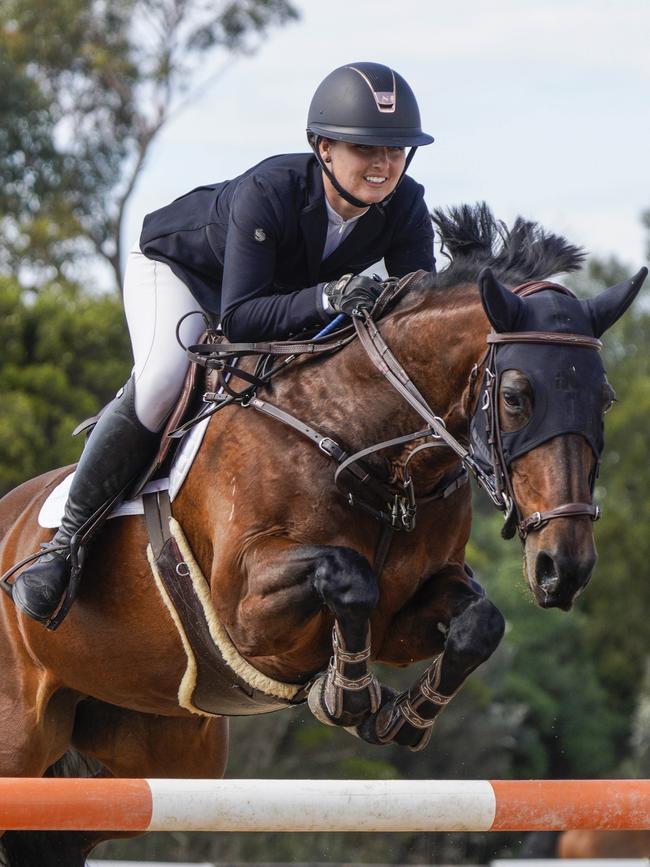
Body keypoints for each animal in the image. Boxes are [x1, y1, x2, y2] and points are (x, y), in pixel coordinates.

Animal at [0, 202, 644, 860]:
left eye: (605, 398)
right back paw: (45, 578)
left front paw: (402, 717)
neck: (371, 449)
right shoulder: (243, 610)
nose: (564, 568)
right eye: (516, 396)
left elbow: (480, 623)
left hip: (148, 753)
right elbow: (349, 575)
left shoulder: (406, 616)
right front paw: (347, 692)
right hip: (21, 739)